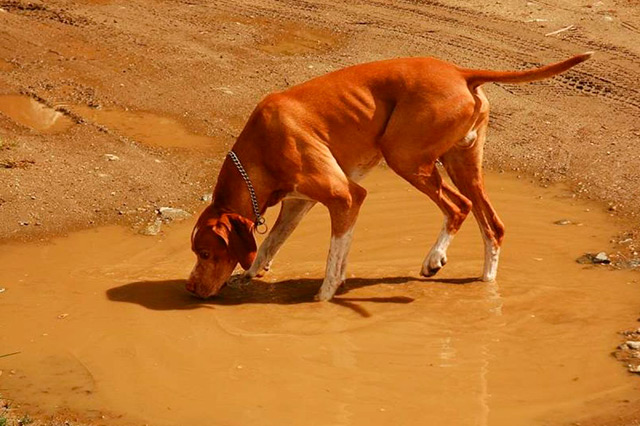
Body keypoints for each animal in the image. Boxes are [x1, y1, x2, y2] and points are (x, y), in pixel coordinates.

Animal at [188, 52, 592, 300]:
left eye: (206, 252)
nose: (191, 288)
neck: (260, 146)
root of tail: (460, 72)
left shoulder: (346, 196)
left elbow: (333, 260)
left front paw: (323, 299)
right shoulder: (298, 204)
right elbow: (271, 243)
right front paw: (250, 274)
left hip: (406, 157)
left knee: (458, 208)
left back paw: (434, 259)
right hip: (463, 166)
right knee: (493, 225)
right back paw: (486, 283)